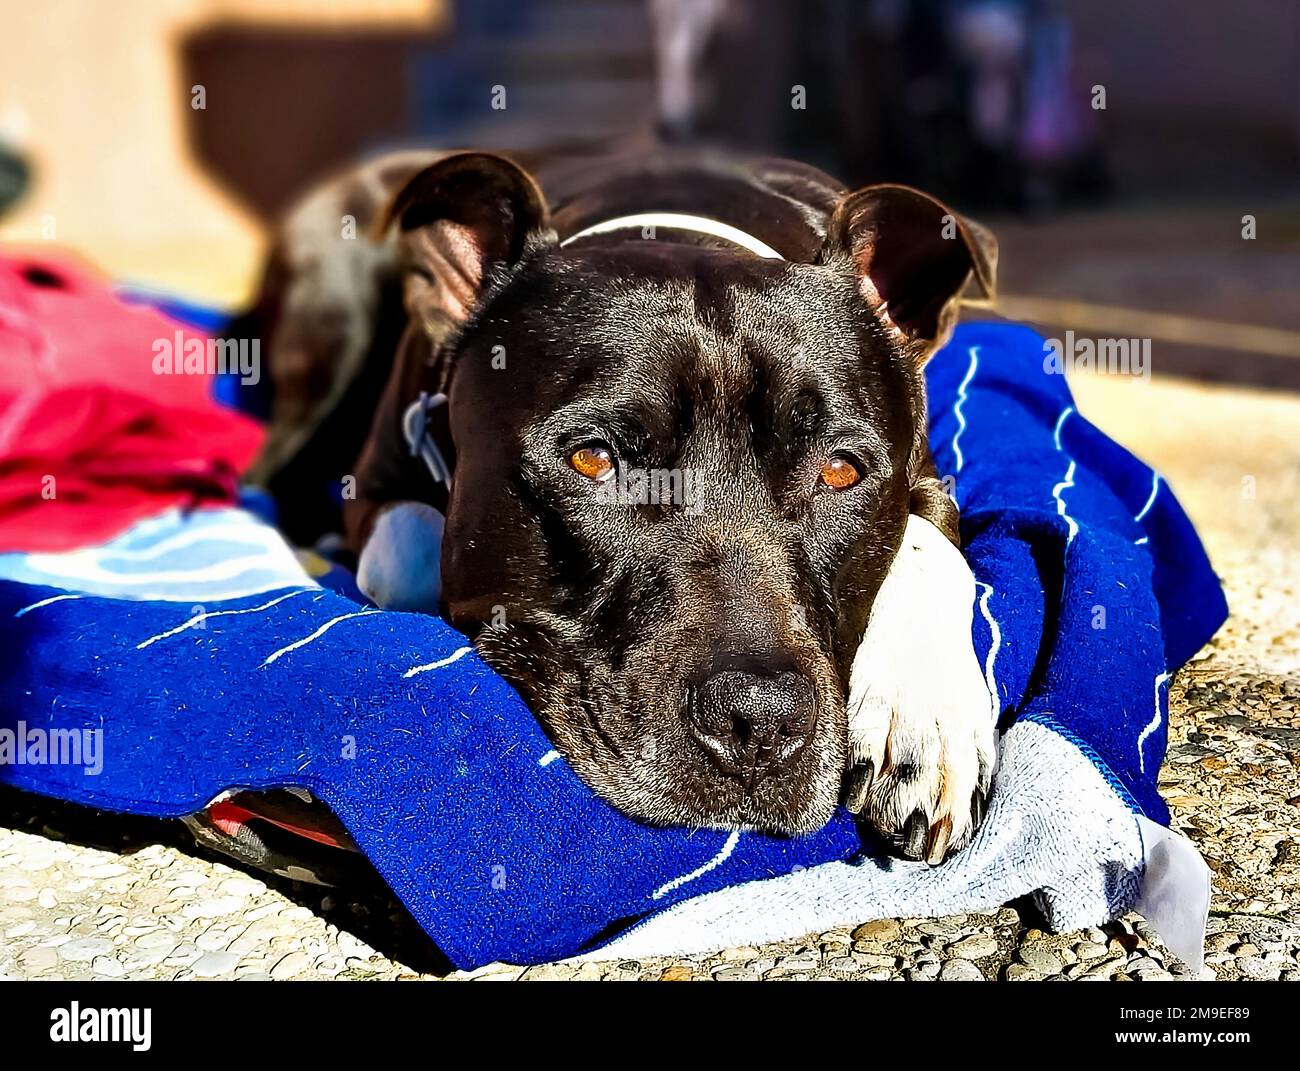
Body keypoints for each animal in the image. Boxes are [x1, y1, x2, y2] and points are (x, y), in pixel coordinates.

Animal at [241, 146, 993, 863]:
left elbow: (931, 547)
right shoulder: (375, 479)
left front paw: (924, 718)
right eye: (594, 459)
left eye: (841, 471)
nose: (758, 717)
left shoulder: (925, 474)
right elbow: (411, 553)